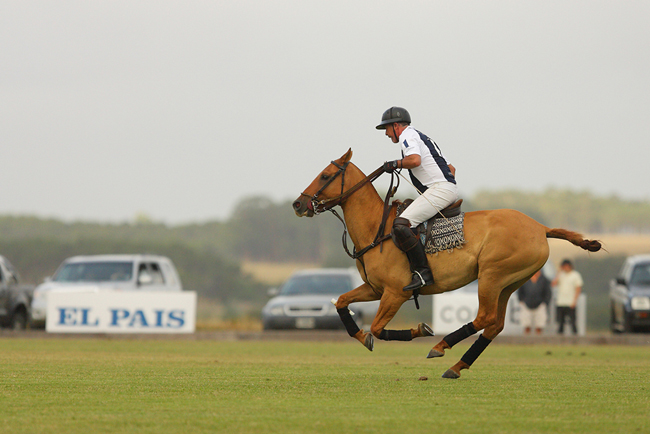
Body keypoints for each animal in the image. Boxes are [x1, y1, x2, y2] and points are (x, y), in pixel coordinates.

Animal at [292, 150, 600, 380]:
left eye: (326, 175)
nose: (298, 204)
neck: (375, 230)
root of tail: (541, 228)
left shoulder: (395, 292)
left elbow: (378, 328)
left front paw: (420, 330)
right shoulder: (374, 288)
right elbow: (342, 301)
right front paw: (360, 335)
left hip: (492, 275)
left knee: (485, 318)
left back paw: (441, 346)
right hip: (510, 283)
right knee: (495, 324)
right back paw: (456, 366)